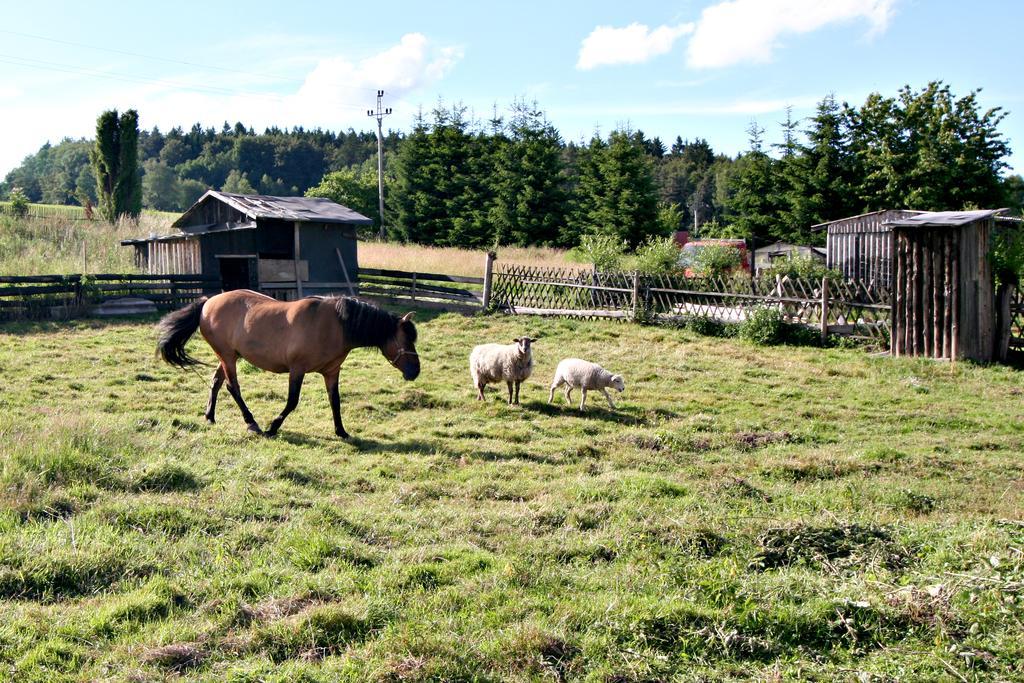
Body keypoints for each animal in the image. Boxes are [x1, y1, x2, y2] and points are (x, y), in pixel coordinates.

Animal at [155, 288, 419, 438]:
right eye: (405, 339)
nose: (415, 371)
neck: (336, 325)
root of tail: (208, 302)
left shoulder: (331, 372)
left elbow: (335, 401)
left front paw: (341, 431)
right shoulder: (297, 369)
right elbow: (292, 401)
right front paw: (273, 427)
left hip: (229, 355)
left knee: (217, 382)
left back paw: (210, 416)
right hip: (227, 356)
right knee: (232, 387)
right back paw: (251, 423)